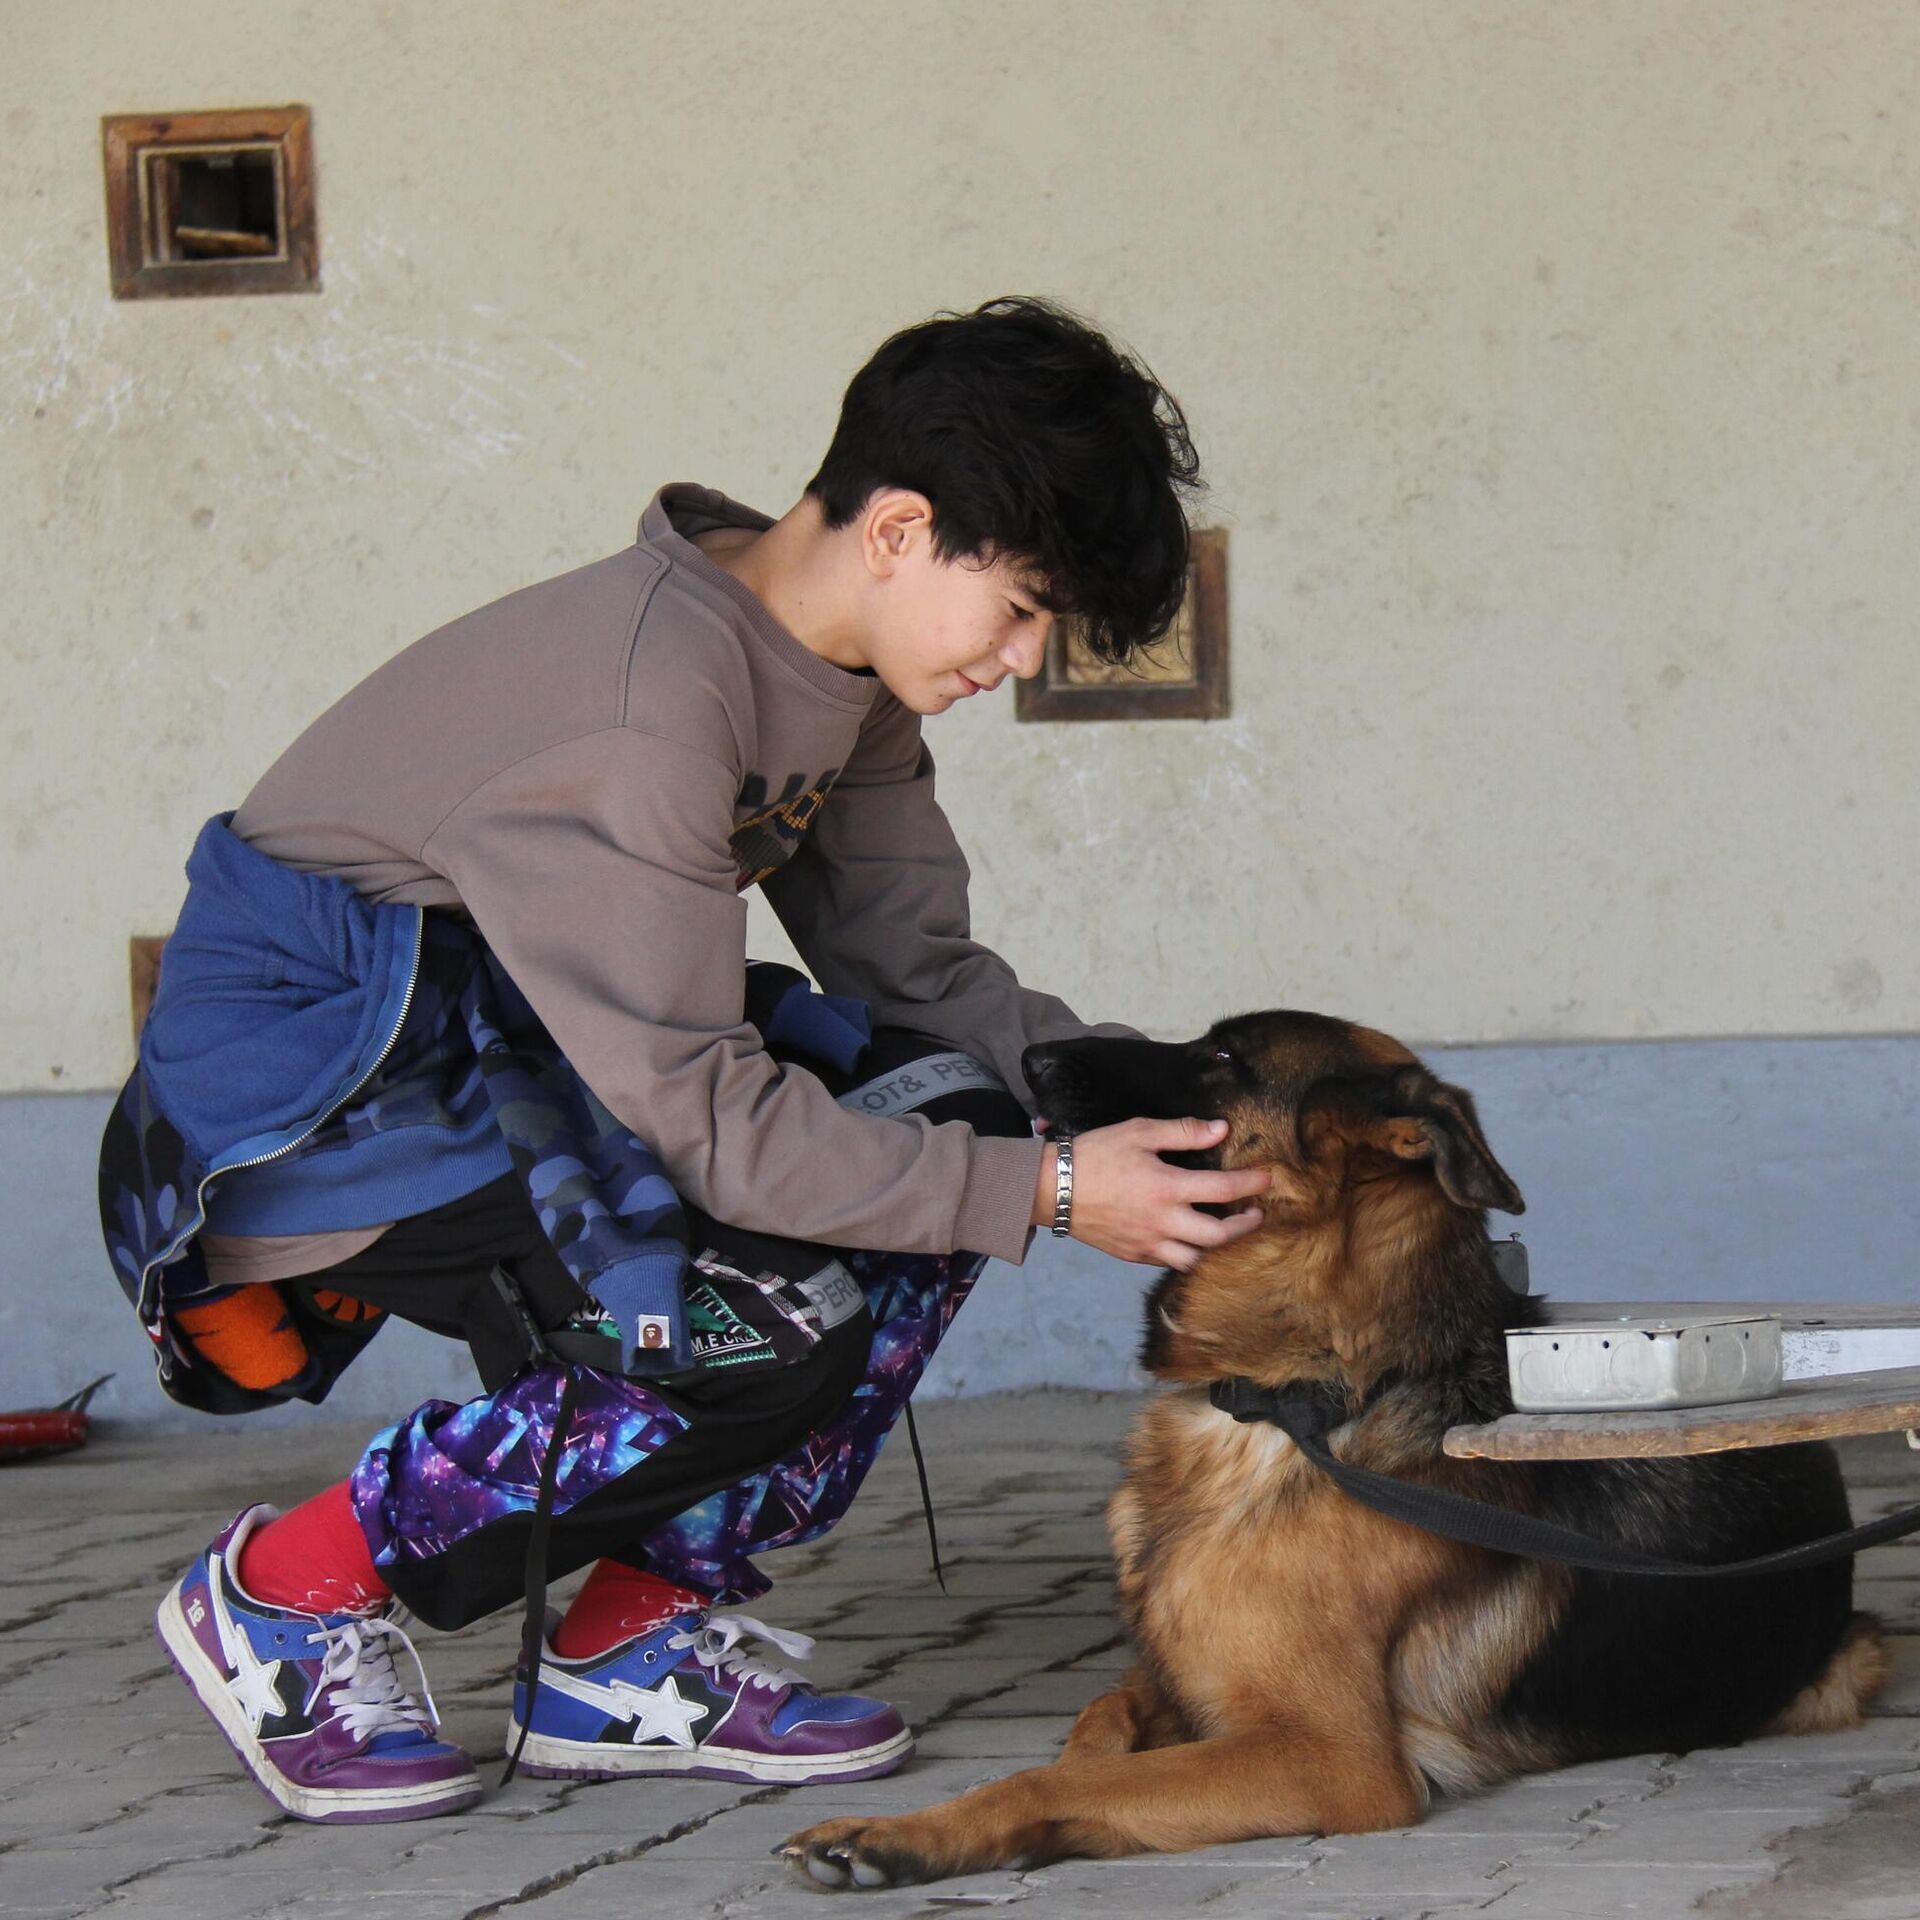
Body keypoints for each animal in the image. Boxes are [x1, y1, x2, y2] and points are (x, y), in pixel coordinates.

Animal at [783, 1013, 1889, 1881]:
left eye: (1222, 1055)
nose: (1030, 1052)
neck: (1287, 1404)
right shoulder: (1175, 1685)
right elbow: (1092, 1740)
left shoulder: (1330, 1760)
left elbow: (1048, 1777)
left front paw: (904, 1834)